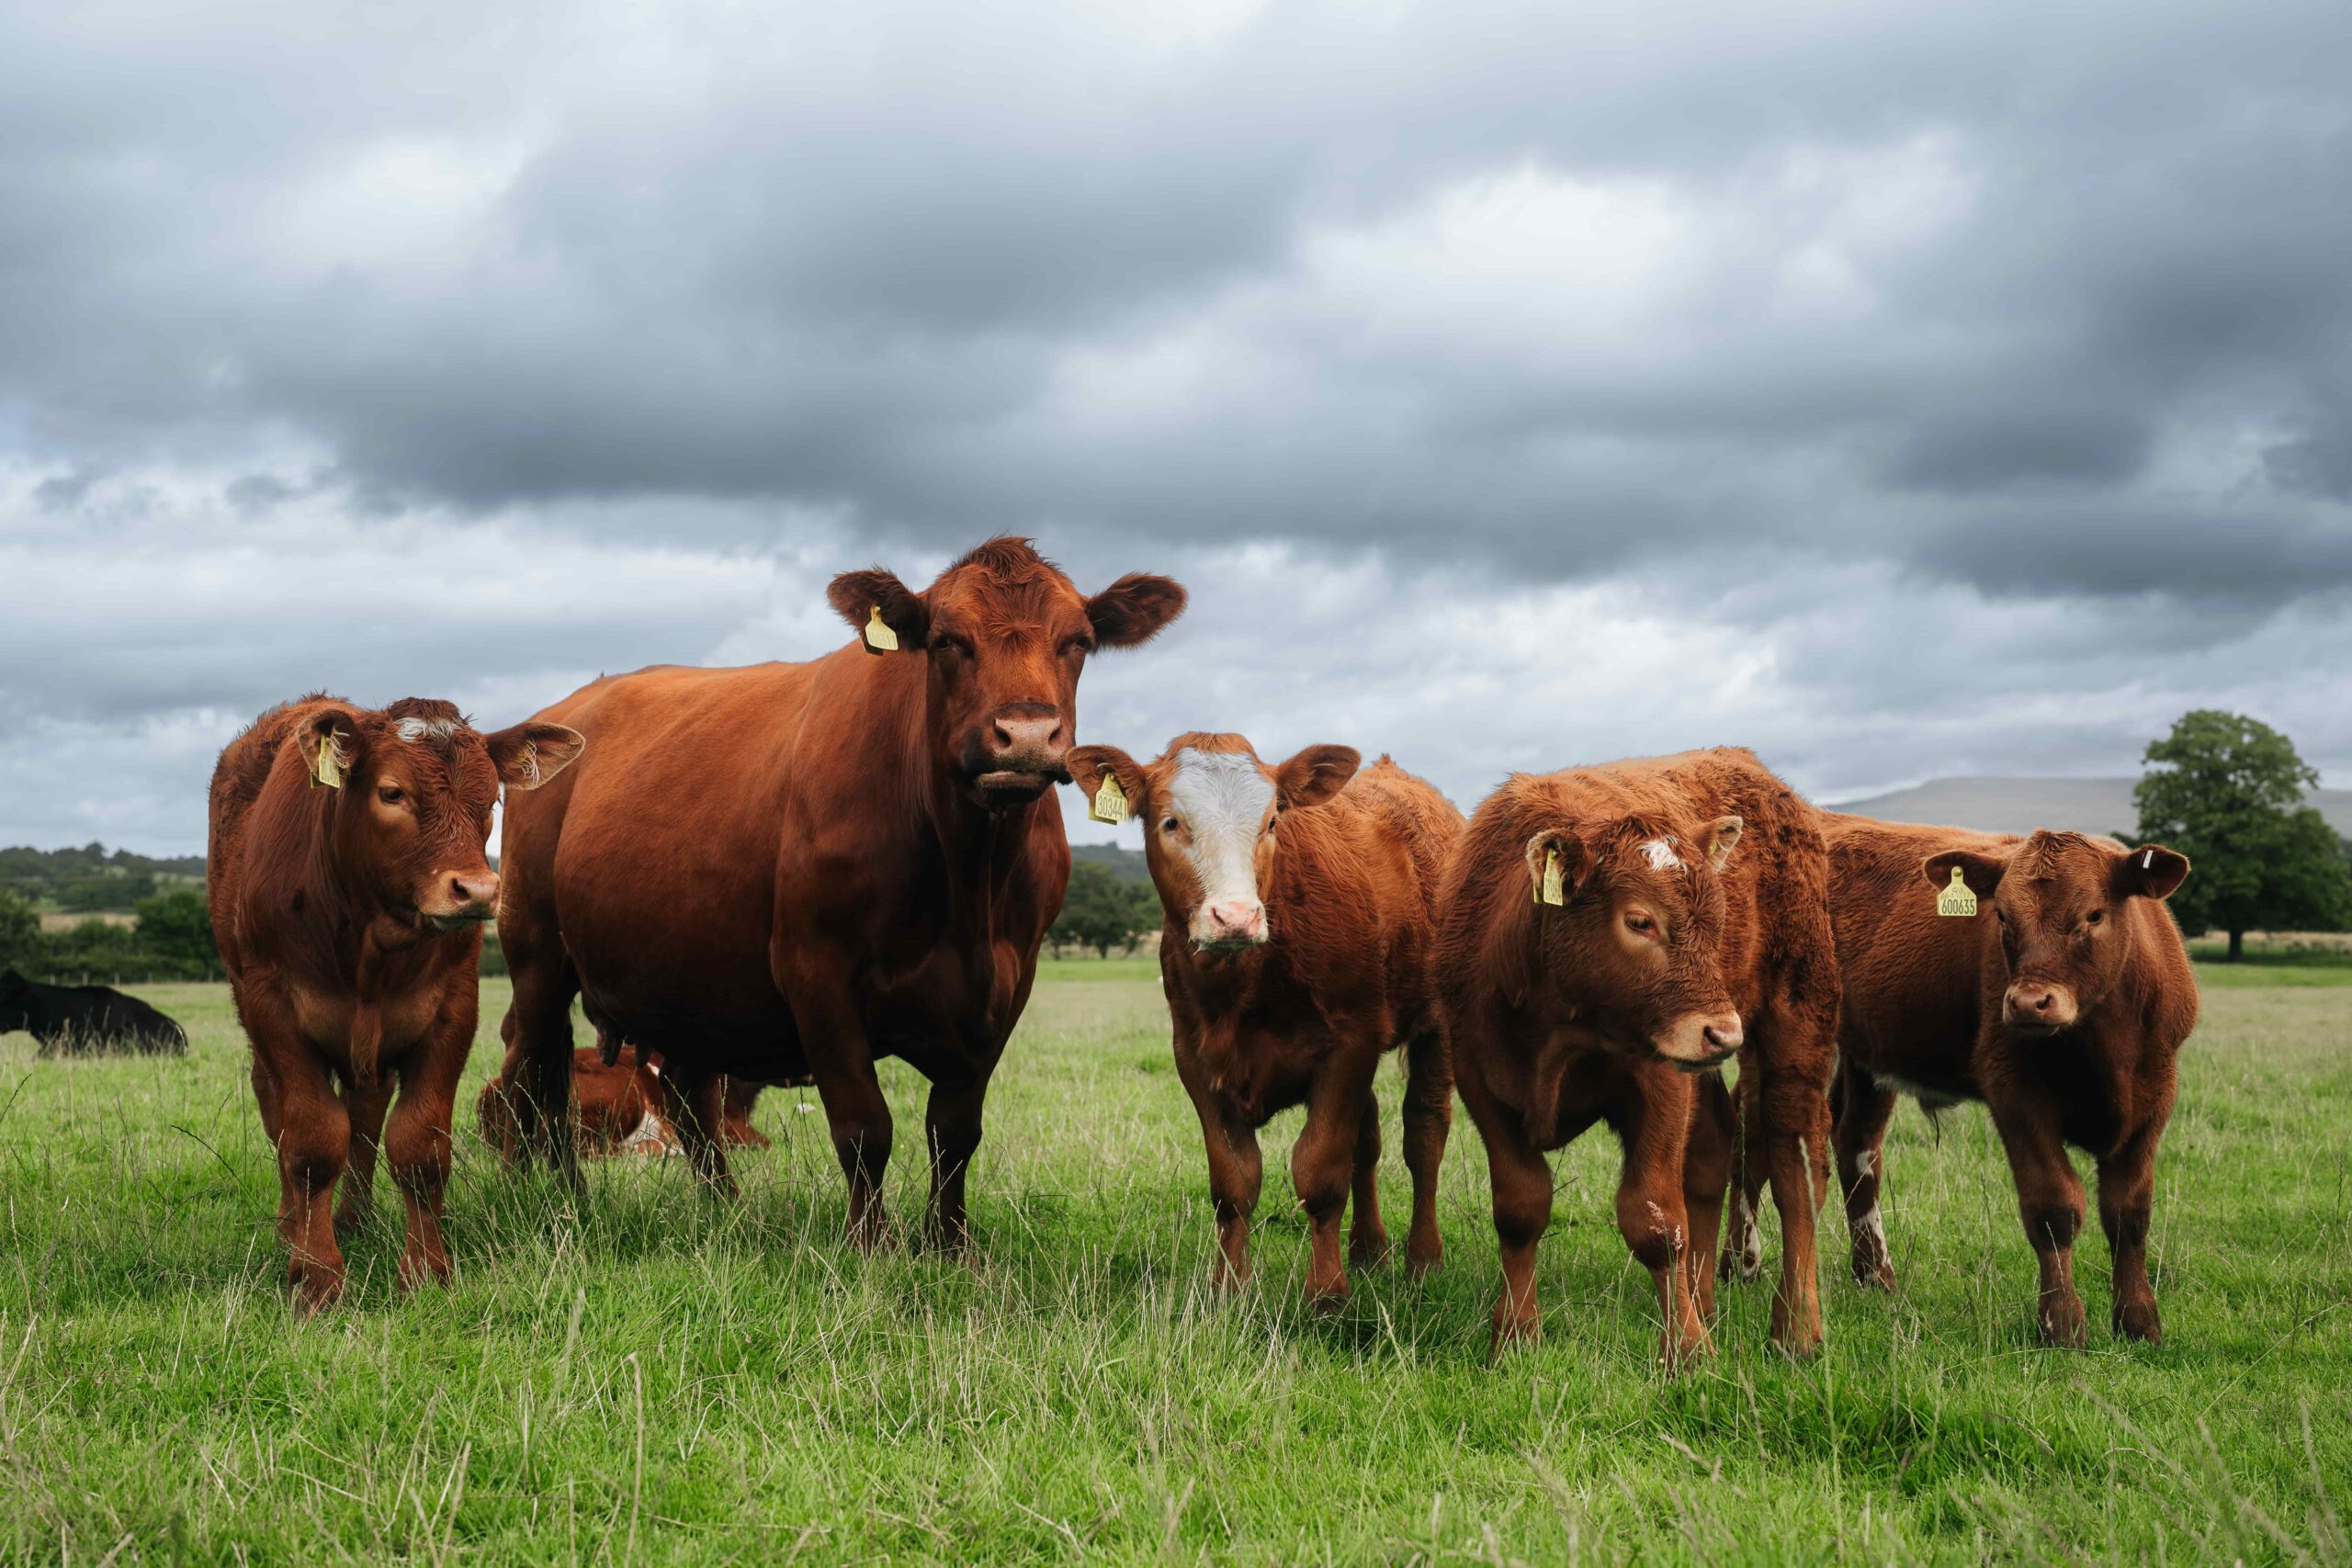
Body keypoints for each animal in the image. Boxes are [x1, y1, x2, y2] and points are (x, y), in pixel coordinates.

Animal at [208, 694, 582, 1313]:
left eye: (492, 800)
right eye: (392, 793)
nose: (479, 891)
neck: (368, 942)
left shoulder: (451, 1013)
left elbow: (418, 1147)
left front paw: (426, 1270)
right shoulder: (275, 1011)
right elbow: (310, 1143)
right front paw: (317, 1278)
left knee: (363, 1116)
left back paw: (356, 1217)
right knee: (278, 1111)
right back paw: (292, 1227)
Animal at [490, 538, 1185, 1251]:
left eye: (1078, 641)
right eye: (945, 639)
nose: (1024, 736)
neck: (967, 880)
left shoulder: (1010, 980)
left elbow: (955, 1131)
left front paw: (950, 1243)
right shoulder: (815, 971)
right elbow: (863, 1125)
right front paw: (871, 1244)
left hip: (688, 978)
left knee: (681, 1092)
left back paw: (721, 1206)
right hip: (536, 950)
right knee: (529, 1064)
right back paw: (537, 1192)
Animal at [1064, 738, 1460, 1307]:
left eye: (1273, 821)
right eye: (1170, 822)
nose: (1235, 917)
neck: (1243, 988)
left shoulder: (1350, 1046)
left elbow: (1320, 1171)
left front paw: (1327, 1295)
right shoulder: (1194, 1058)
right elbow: (1234, 1184)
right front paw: (1229, 1288)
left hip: (1437, 1028)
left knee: (1424, 1135)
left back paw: (1423, 1257)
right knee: (1369, 1140)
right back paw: (1368, 1249)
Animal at [1436, 748, 1840, 1364]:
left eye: (1718, 919)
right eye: (1639, 920)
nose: (1722, 1033)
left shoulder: (1659, 1083)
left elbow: (1655, 1221)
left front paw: (1689, 1352)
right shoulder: (1480, 1083)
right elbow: (1519, 1210)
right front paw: (1516, 1336)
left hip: (1797, 1028)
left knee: (1799, 1173)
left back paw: (1795, 1328)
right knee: (1714, 1149)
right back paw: (1706, 1303)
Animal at [1722, 817, 2196, 1347]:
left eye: (2094, 915)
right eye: (2003, 917)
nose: (2028, 1002)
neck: (2099, 1046)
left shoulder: (2153, 1096)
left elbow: (2129, 1212)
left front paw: (2139, 1321)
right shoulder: (2014, 1091)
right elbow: (2054, 1207)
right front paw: (2062, 1325)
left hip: (1866, 1053)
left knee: (1856, 1145)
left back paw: (1875, 1274)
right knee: (1750, 1139)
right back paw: (1741, 1263)